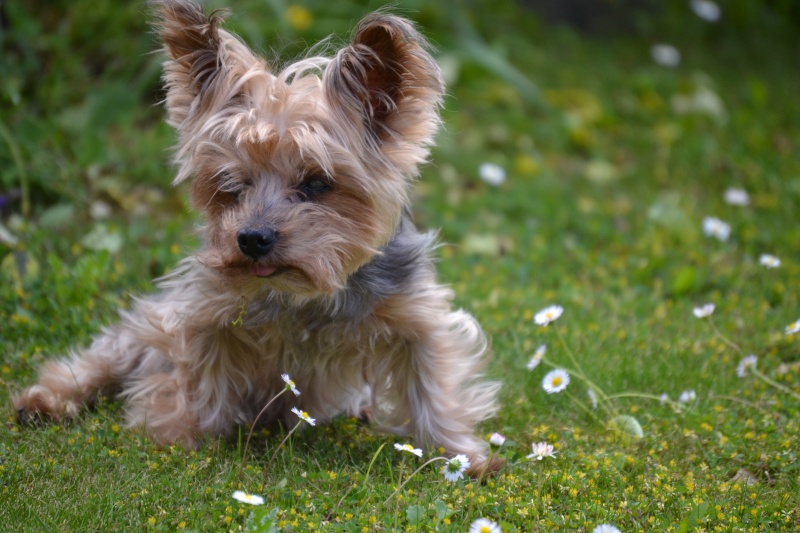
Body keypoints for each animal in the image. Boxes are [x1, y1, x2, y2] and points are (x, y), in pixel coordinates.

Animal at [14, 0, 500, 474]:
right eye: (232, 183)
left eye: (316, 183)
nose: (250, 239)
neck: (303, 294)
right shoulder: (202, 307)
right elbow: (195, 370)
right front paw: (179, 434)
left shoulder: (413, 310)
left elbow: (432, 378)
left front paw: (462, 454)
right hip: (141, 326)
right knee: (106, 355)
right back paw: (48, 399)